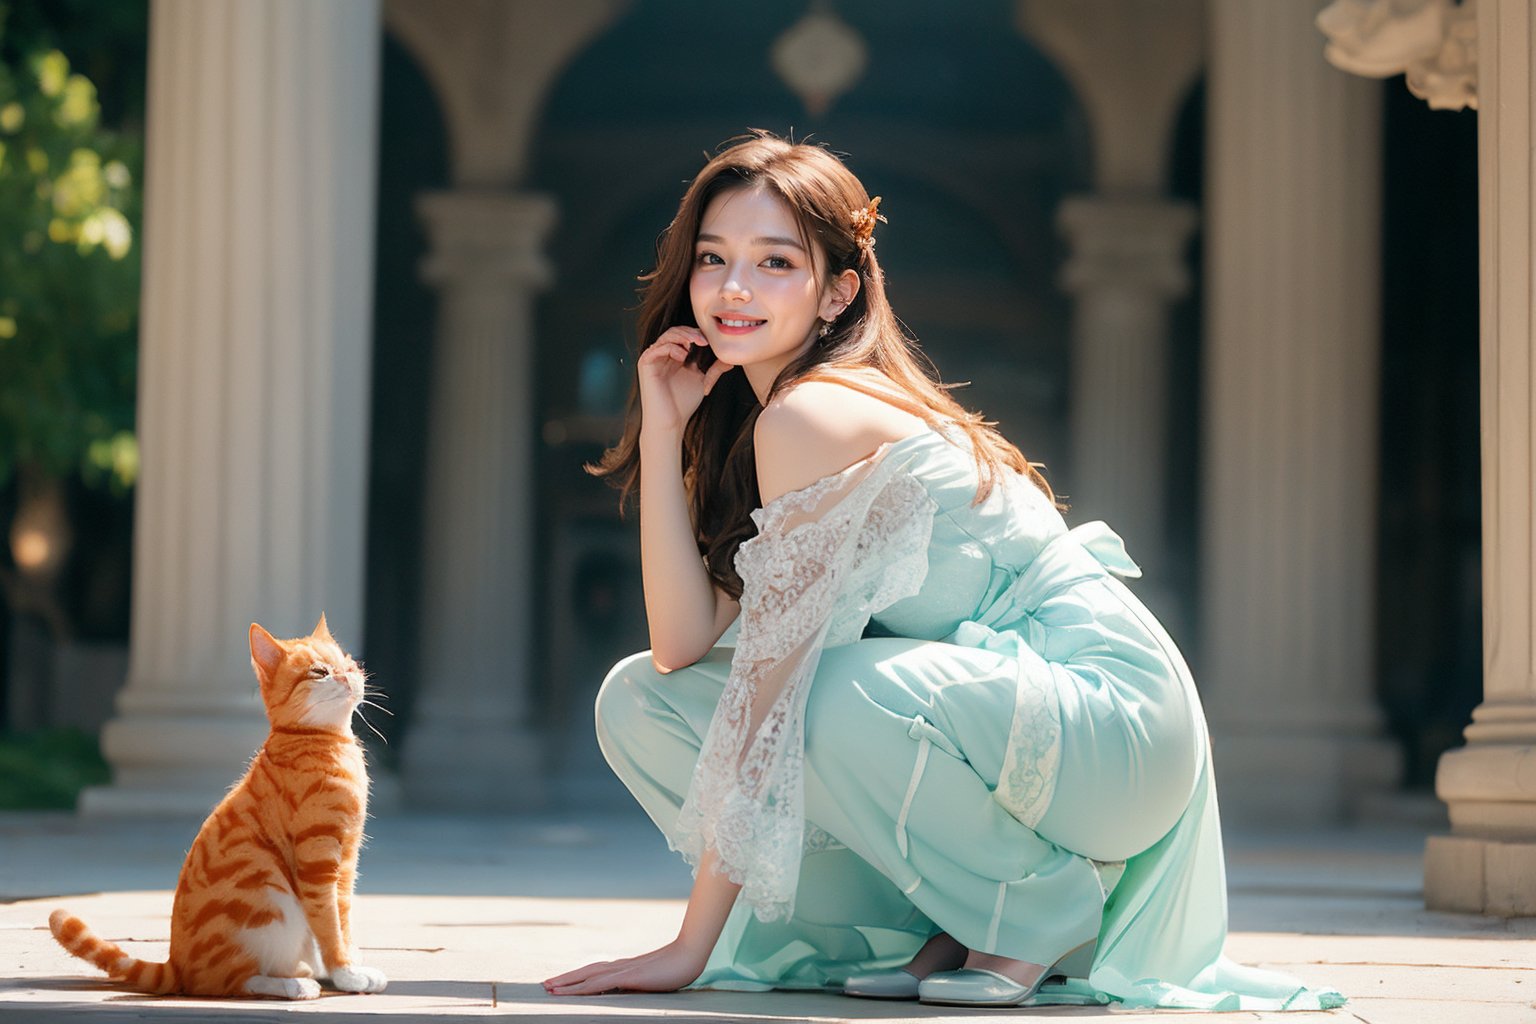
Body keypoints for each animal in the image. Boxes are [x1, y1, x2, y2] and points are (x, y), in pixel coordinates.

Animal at [48, 617, 387, 1000]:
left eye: (351, 663)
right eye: (320, 672)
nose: (352, 675)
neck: (323, 741)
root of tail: (175, 965)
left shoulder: (346, 864)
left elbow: (341, 920)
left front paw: (347, 965)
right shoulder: (318, 864)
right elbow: (328, 925)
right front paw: (345, 972)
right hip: (268, 904)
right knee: (232, 981)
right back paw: (293, 983)